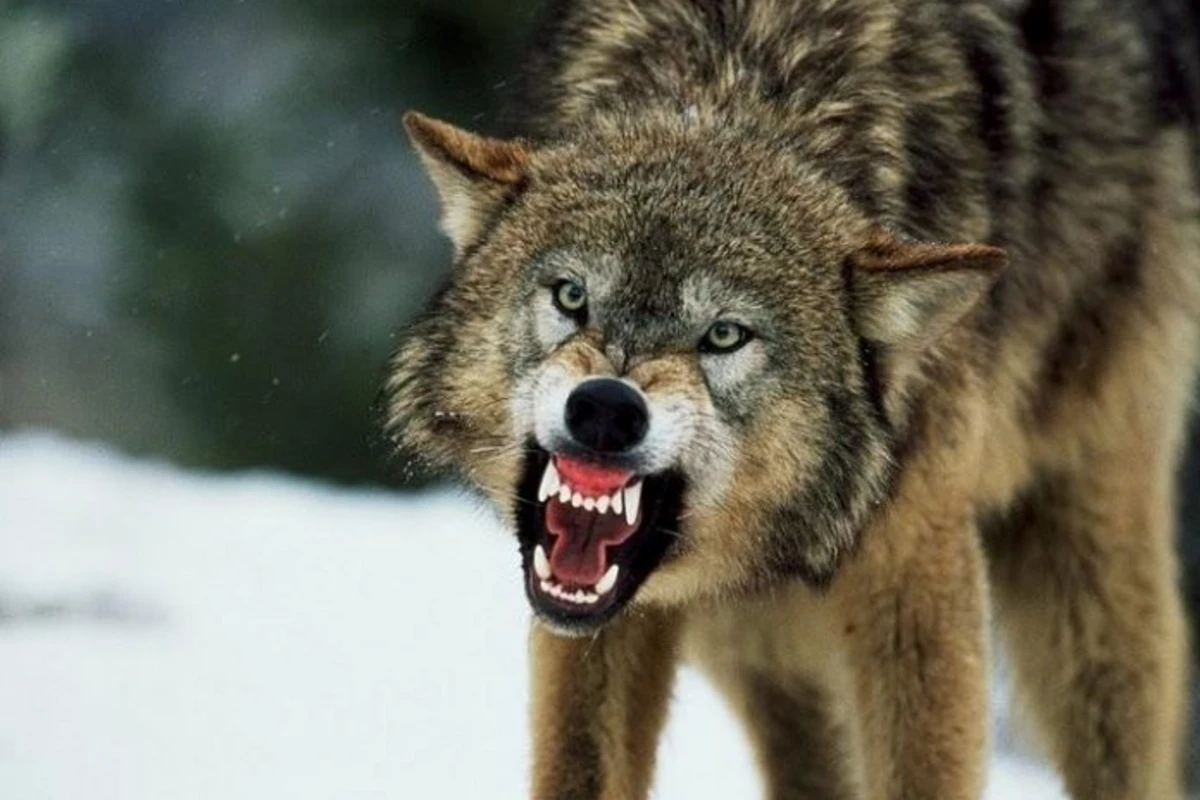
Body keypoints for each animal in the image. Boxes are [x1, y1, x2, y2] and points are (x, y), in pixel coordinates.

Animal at [386, 0, 1200, 797]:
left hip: (1088, 576)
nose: (607, 408)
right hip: (753, 640)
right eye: (571, 296)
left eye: (725, 335)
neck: (735, 82)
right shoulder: (599, 615)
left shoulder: (915, 577)